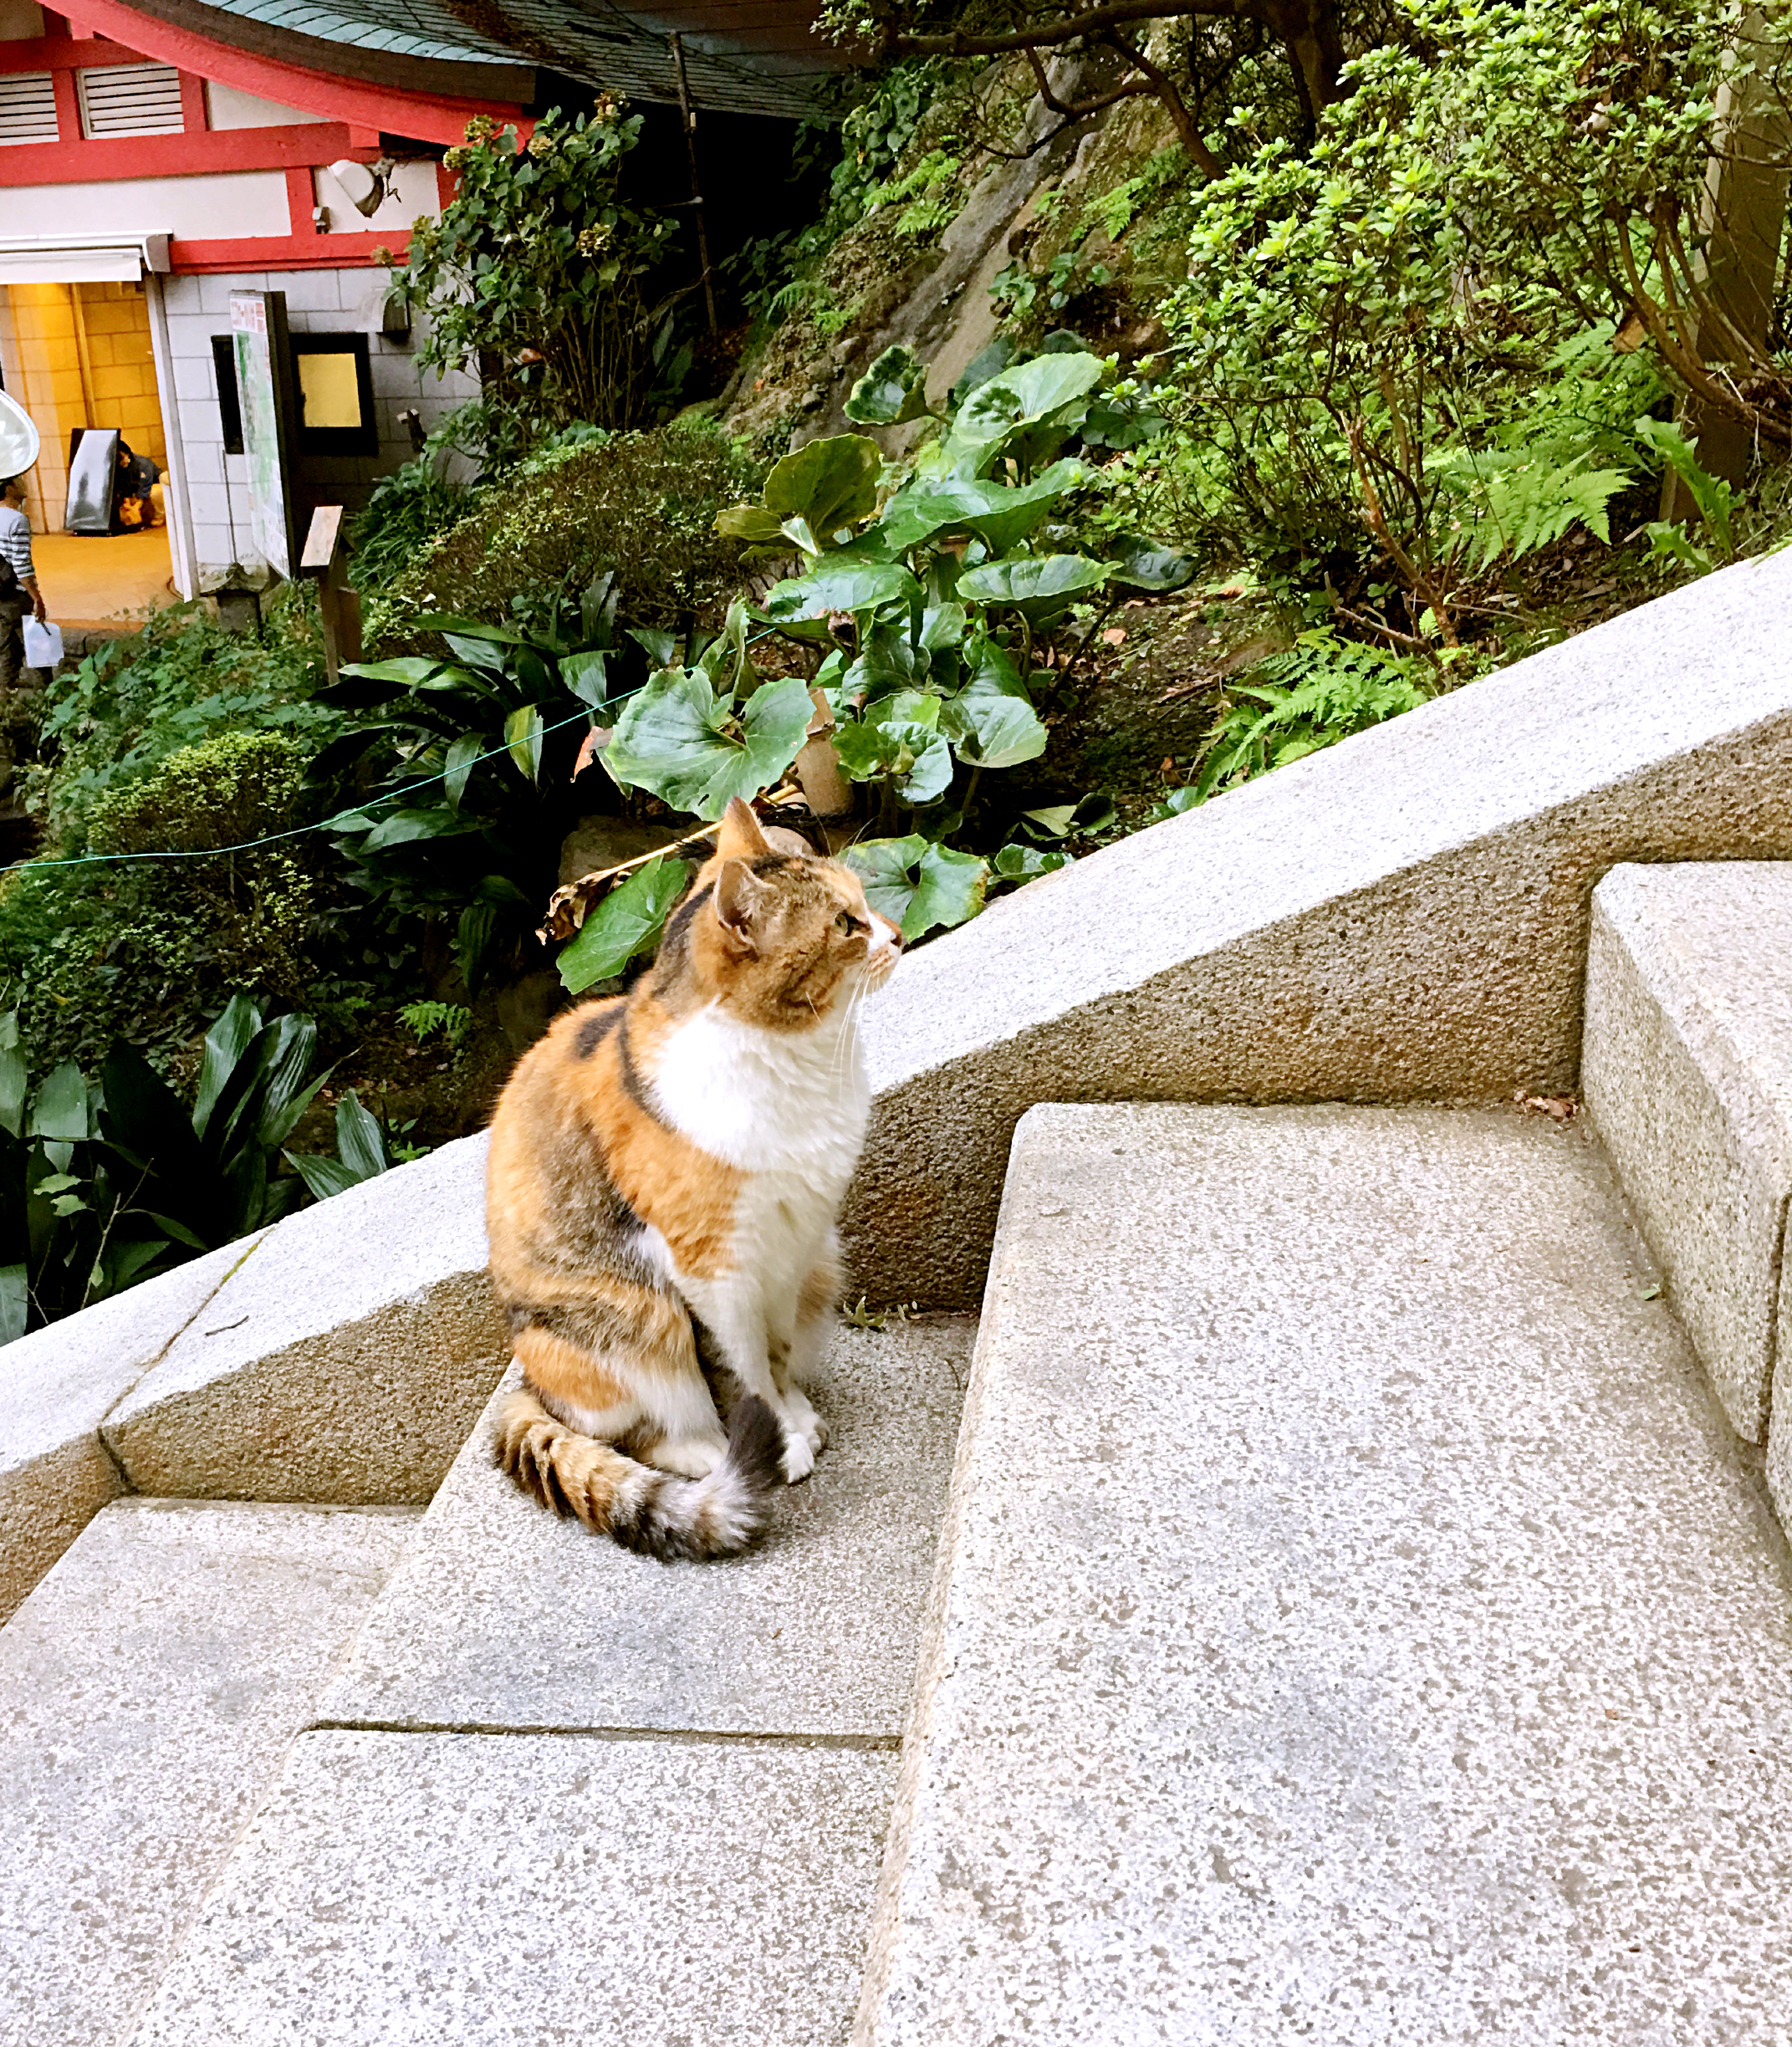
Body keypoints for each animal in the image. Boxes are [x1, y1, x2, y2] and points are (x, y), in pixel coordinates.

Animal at [482, 794, 905, 1547]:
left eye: (863, 901)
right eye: (845, 924)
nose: (901, 934)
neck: (793, 1062)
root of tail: (528, 1386)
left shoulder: (789, 1246)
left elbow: (775, 1353)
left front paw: (794, 1417)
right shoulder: (708, 1269)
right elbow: (741, 1371)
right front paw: (779, 1444)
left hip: (823, 1263)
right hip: (631, 1316)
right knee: (637, 1432)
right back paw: (706, 1456)